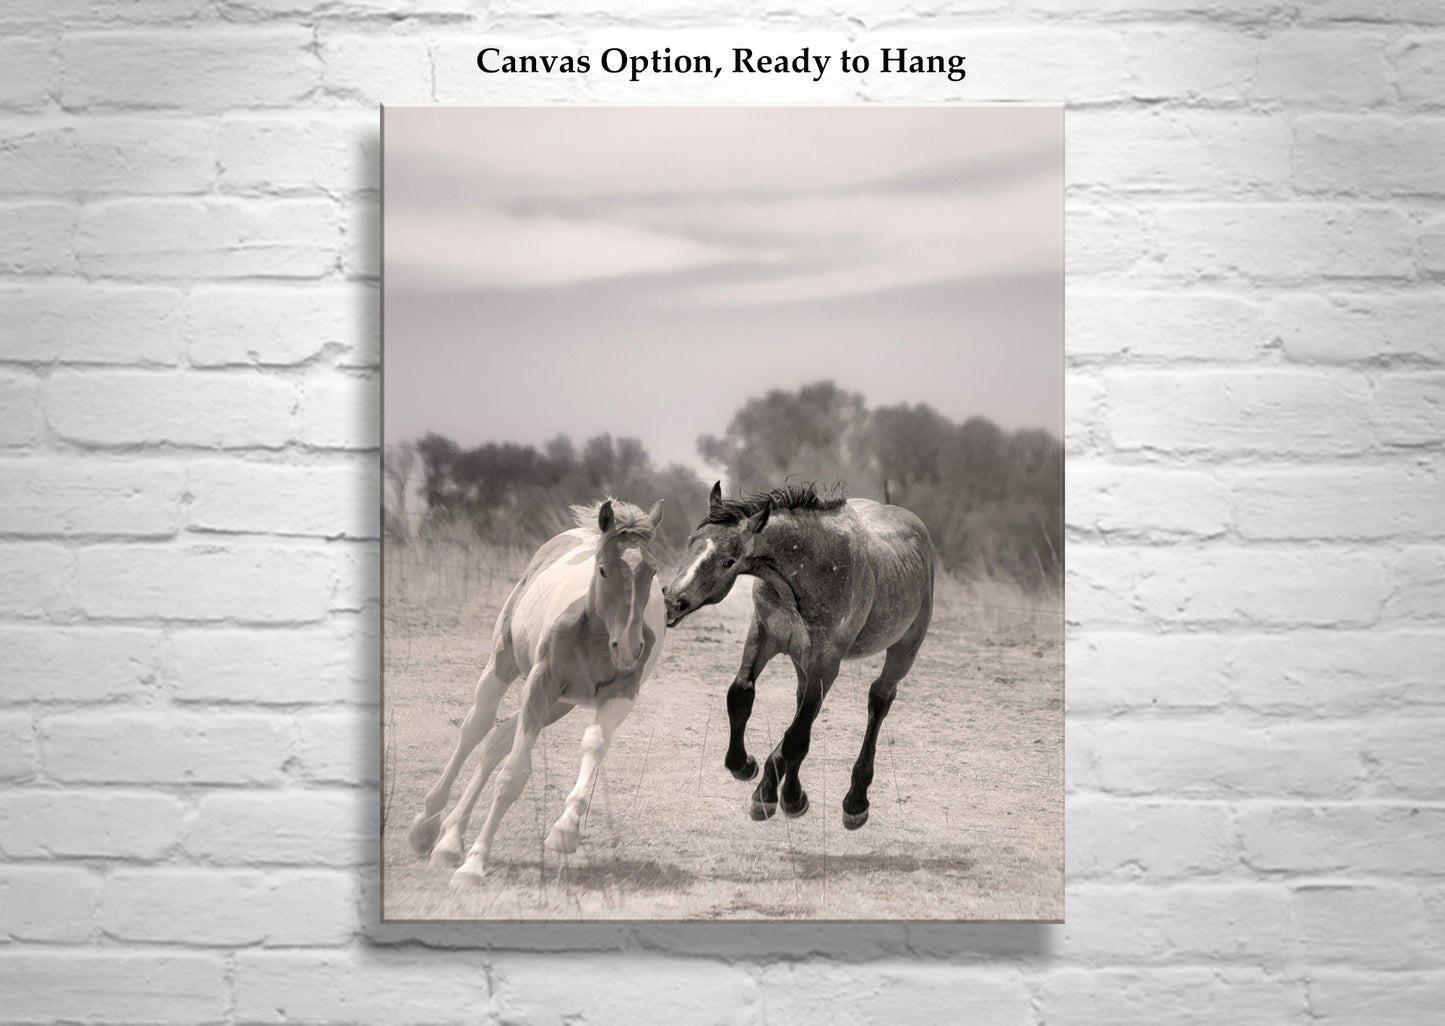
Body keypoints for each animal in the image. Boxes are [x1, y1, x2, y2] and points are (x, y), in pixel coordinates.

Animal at [406, 498, 666, 887]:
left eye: (650, 571)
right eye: (603, 570)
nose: (629, 648)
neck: (593, 633)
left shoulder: (620, 693)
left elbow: (593, 745)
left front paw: (565, 831)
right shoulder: (540, 682)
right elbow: (514, 775)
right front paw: (474, 865)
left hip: (560, 704)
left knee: (498, 737)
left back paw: (450, 840)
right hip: (504, 666)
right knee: (476, 728)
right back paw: (427, 827)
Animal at [662, 482, 933, 830]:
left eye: (729, 561)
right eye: (690, 542)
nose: (672, 602)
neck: (810, 569)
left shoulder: (826, 662)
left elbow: (797, 737)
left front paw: (791, 799)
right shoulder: (763, 635)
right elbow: (741, 696)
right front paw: (745, 767)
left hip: (903, 651)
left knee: (878, 700)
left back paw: (855, 801)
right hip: (801, 662)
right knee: (804, 704)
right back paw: (768, 786)